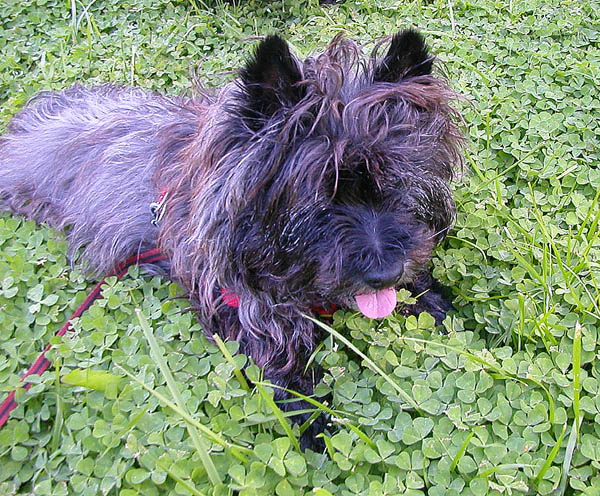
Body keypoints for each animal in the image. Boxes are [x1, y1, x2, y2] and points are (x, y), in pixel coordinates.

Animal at [0, 30, 464, 450]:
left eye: (397, 183)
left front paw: (437, 304)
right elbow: (285, 374)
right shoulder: (244, 308)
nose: (385, 273)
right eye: (318, 199)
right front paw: (316, 425)